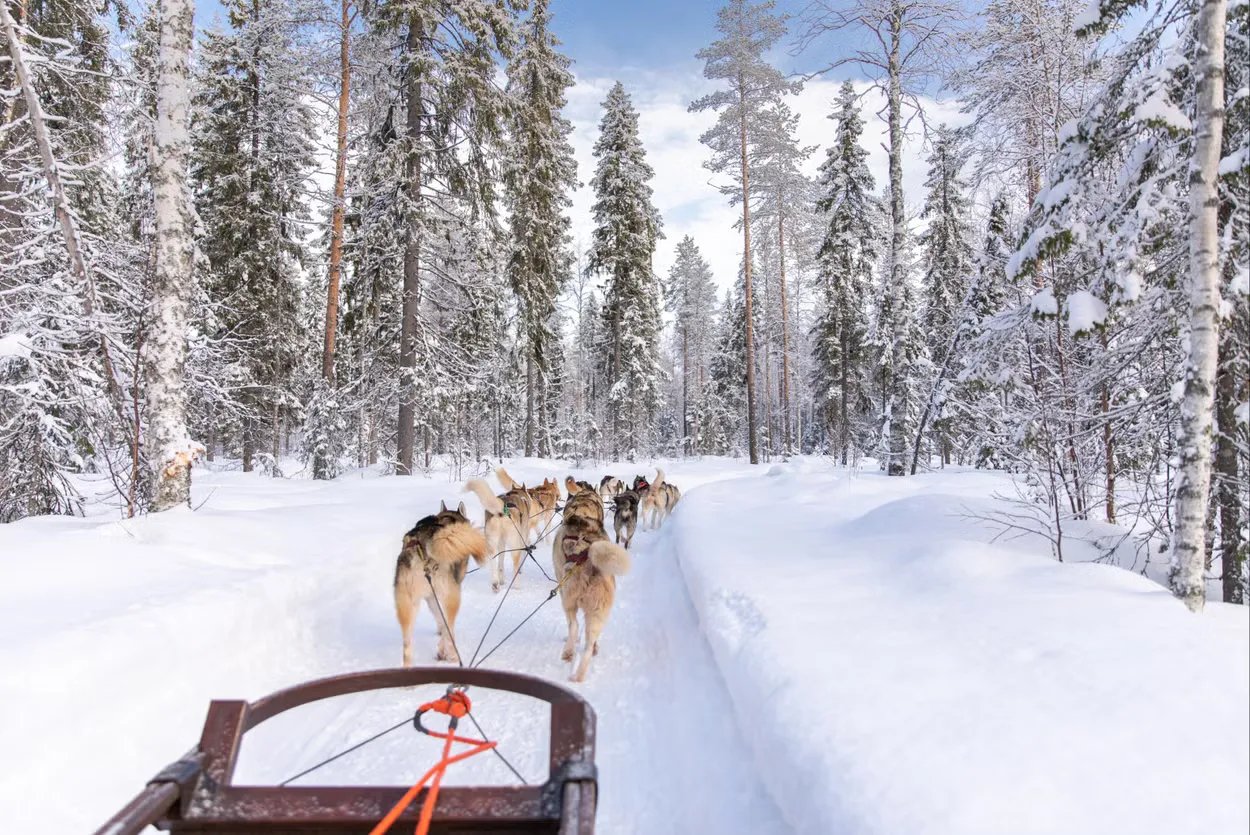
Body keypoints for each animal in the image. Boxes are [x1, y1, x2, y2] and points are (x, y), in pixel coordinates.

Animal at [392, 502, 490, 665]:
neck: (446, 519)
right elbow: (444, 625)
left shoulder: (431, 596)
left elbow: (439, 617)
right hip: (452, 597)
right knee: (449, 628)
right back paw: (450, 655)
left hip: (407, 604)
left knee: (407, 647)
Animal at [552, 512, 630, 680]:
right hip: (597, 614)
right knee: (588, 648)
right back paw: (578, 676)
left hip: (569, 601)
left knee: (574, 625)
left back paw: (568, 652)